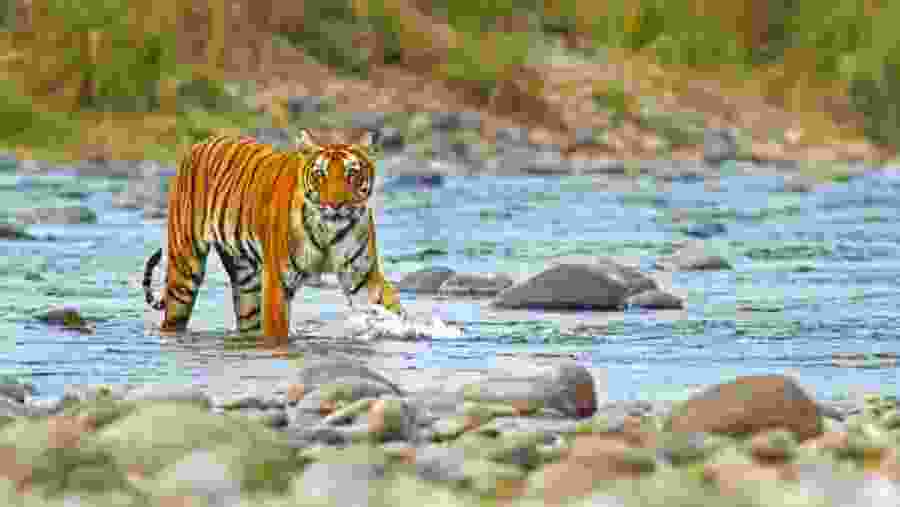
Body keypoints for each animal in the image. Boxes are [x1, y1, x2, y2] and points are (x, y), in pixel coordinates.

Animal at [142, 129, 404, 344]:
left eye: (352, 174)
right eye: (320, 175)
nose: (336, 204)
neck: (328, 230)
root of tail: (200, 143)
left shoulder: (362, 274)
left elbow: (389, 307)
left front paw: (405, 330)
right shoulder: (279, 279)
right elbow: (277, 330)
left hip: (246, 279)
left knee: (248, 318)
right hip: (185, 269)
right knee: (173, 317)